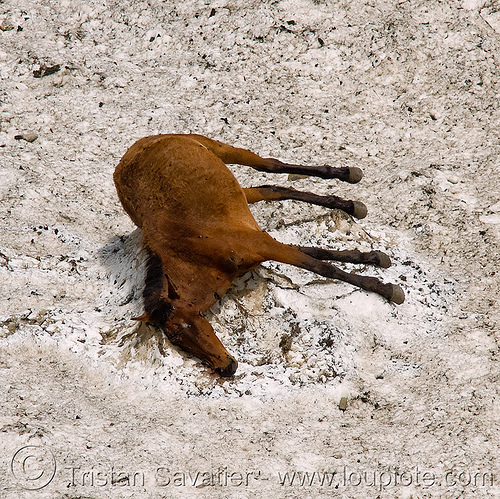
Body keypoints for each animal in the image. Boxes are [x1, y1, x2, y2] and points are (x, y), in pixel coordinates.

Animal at [113, 135, 402, 376]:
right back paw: (348, 205)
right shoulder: (261, 245)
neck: (196, 254)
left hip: (222, 150)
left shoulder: (260, 244)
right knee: (270, 189)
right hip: (240, 192)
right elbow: (316, 253)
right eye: (175, 339)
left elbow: (321, 266)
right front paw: (373, 258)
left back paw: (347, 177)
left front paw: (384, 288)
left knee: (271, 166)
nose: (225, 368)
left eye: (188, 325)